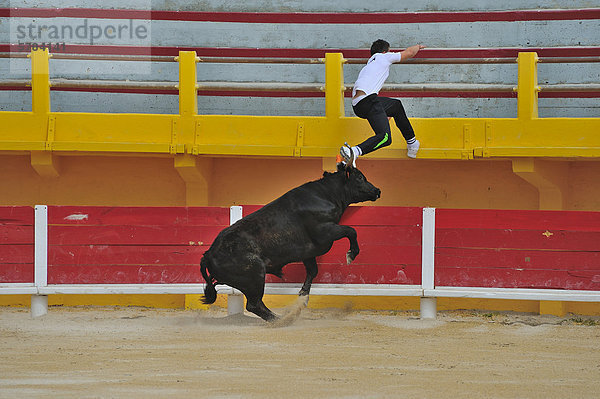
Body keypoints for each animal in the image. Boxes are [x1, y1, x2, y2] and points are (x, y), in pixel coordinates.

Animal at [200, 164, 380, 324]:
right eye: (360, 177)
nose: (377, 190)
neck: (325, 195)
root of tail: (208, 254)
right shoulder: (325, 232)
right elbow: (351, 231)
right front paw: (351, 254)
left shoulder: (308, 252)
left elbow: (313, 271)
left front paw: (303, 295)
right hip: (255, 275)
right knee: (254, 304)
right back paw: (283, 320)